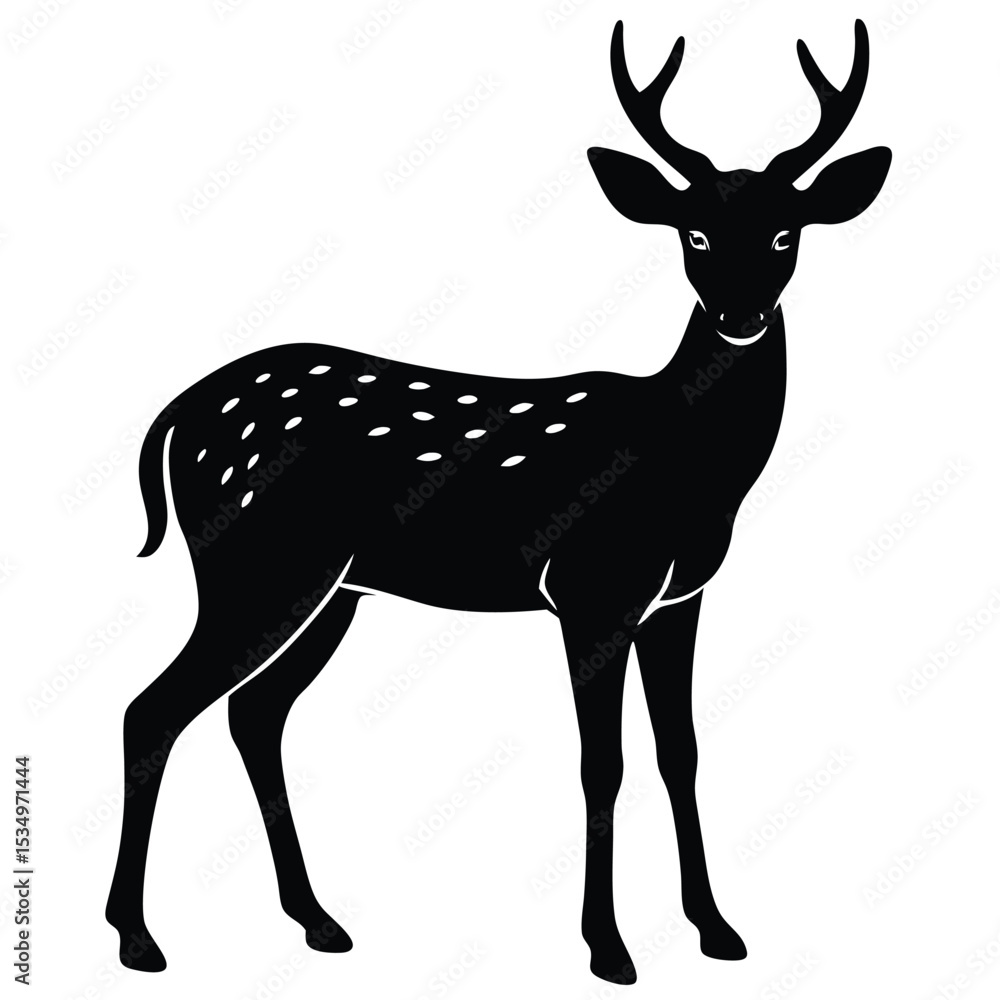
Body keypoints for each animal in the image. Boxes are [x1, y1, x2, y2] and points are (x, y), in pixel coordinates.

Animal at [105, 18, 890, 985]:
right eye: (695, 235)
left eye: (786, 233)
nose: (740, 317)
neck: (693, 469)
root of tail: (178, 413)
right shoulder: (593, 588)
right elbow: (603, 762)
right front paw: (609, 949)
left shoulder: (680, 596)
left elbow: (682, 752)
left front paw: (717, 929)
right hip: (255, 562)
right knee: (153, 709)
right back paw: (139, 938)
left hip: (331, 589)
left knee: (252, 714)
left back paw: (318, 921)